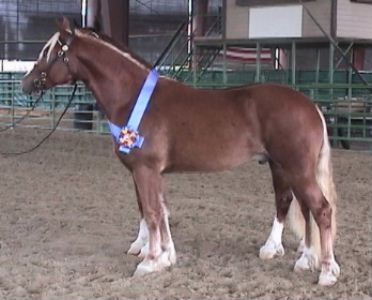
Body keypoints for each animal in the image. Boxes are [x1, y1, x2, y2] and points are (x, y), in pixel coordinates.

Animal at [21, 18, 340, 286]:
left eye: (51, 52)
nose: (26, 83)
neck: (133, 97)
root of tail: (311, 106)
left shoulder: (145, 169)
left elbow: (151, 212)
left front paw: (150, 262)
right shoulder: (146, 172)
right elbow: (156, 210)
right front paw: (163, 255)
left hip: (296, 169)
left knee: (320, 209)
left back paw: (325, 271)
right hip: (283, 167)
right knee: (298, 205)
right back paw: (300, 257)